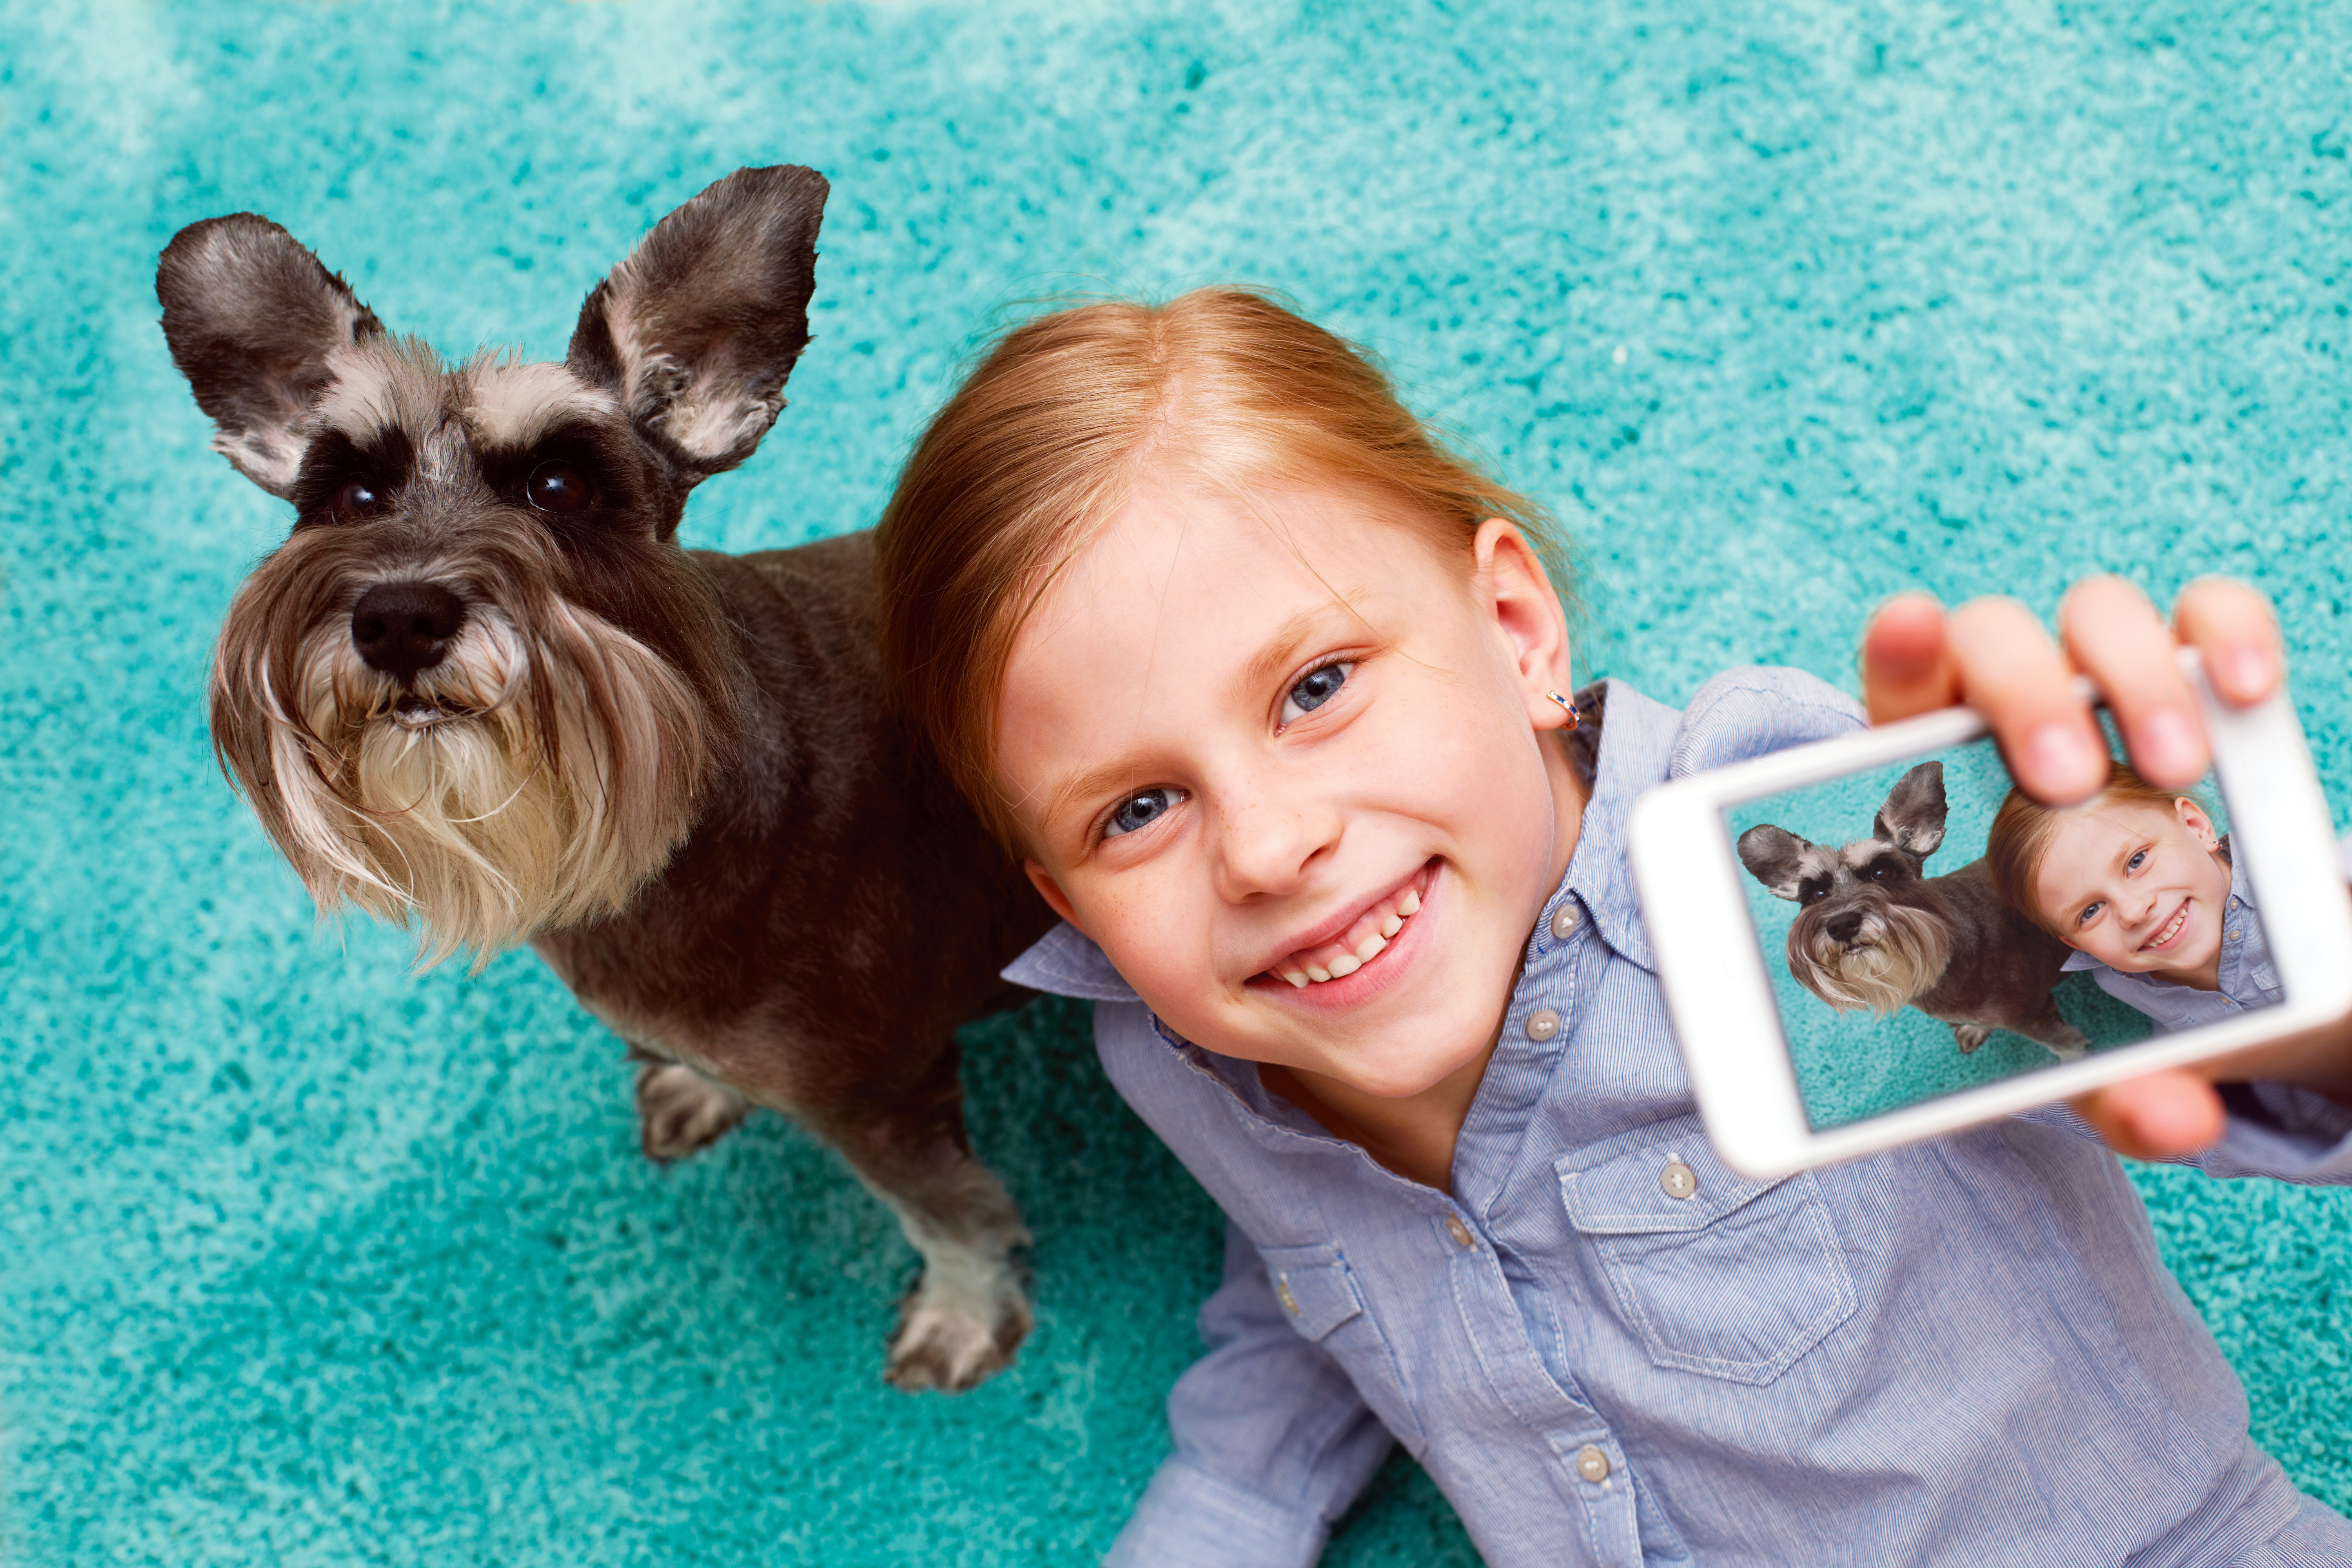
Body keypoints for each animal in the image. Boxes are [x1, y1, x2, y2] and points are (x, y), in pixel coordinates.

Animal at [158, 165, 1058, 1392]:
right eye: (348, 497)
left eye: (559, 485)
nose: (398, 616)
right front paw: (697, 1084)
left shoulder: (877, 1087)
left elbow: (946, 1211)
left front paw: (965, 1314)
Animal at [1740, 762, 2088, 1062]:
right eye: (1817, 894)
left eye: (1881, 873)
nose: (1841, 925)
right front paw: (1975, 1030)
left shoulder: (2035, 1017)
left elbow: (2066, 1047)